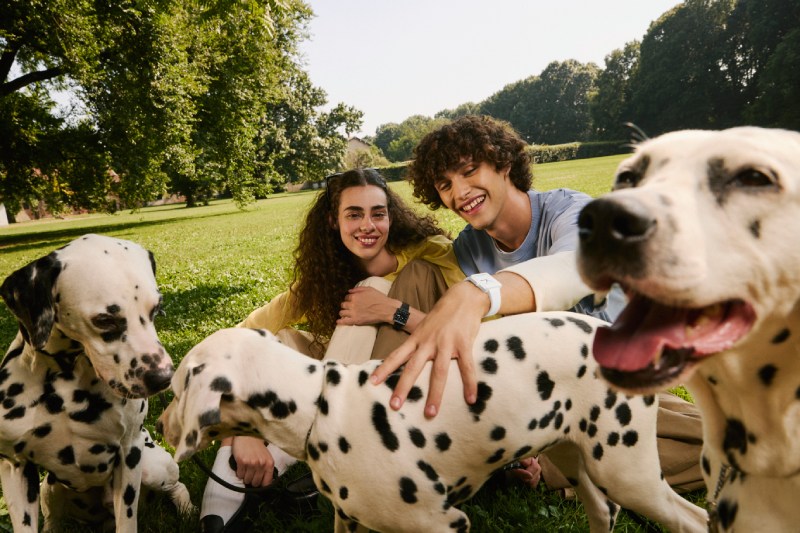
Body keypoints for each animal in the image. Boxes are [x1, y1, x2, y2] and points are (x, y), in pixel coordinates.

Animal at [0, 235, 194, 528]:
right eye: (104, 320)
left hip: (152, 466)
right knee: (53, 519)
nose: (163, 377)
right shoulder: (14, 467)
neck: (65, 380)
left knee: (177, 486)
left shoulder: (129, 453)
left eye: (156, 309)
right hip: (49, 487)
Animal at [161, 314, 708, 528]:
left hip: (629, 475)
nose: (161, 418)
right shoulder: (351, 522)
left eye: (177, 387)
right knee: (602, 513)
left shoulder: (442, 524)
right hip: (579, 459)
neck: (319, 405)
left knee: (695, 519)